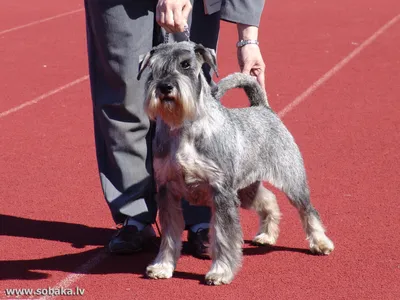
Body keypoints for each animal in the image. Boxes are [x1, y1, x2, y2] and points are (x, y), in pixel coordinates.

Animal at [138, 41, 334, 284]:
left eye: (185, 64)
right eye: (153, 67)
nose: (165, 87)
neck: (184, 128)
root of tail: (263, 108)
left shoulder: (221, 193)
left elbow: (223, 237)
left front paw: (220, 271)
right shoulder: (167, 192)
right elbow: (169, 235)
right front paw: (162, 266)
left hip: (292, 181)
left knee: (307, 210)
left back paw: (321, 243)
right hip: (245, 190)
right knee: (269, 200)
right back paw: (267, 235)